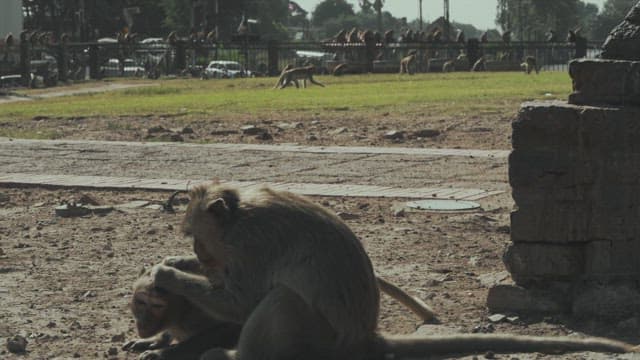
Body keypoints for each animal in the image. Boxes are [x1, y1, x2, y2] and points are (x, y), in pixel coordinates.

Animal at [146, 183, 640, 360]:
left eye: (198, 237)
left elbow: (241, 300)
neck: (238, 214)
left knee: (282, 301)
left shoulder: (252, 244)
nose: (197, 253)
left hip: (319, 340)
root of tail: (364, 338)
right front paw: (175, 266)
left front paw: (168, 276)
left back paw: (232, 356)